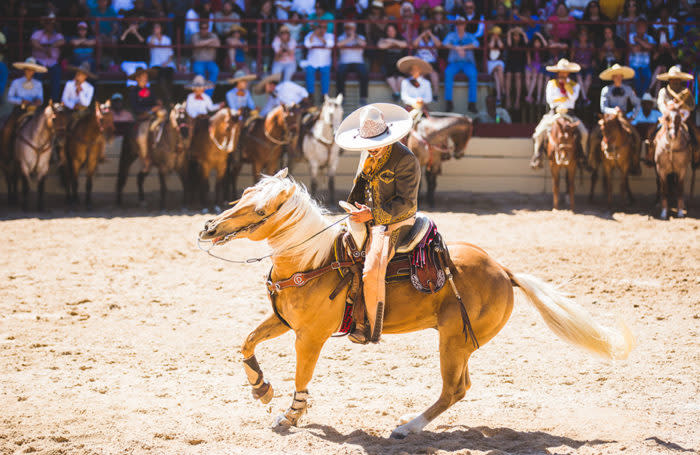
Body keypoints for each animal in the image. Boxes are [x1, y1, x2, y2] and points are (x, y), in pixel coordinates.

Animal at [198, 169, 636, 440]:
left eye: (260, 209)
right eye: (242, 195)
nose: (208, 226)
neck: (314, 261)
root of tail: (502, 270)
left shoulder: (310, 336)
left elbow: (302, 376)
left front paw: (290, 415)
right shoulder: (283, 320)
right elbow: (246, 343)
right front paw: (261, 388)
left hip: (454, 342)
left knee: (454, 390)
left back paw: (406, 428)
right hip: (459, 343)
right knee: (460, 388)